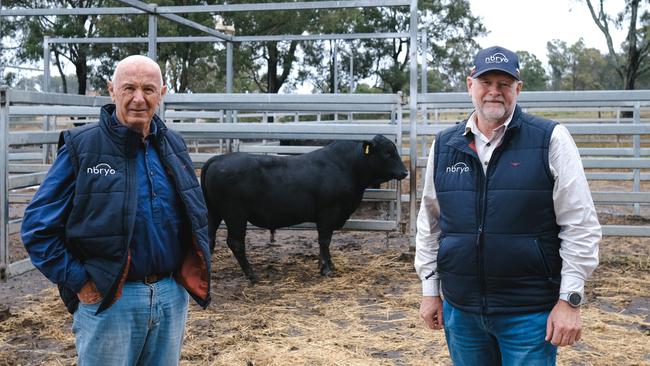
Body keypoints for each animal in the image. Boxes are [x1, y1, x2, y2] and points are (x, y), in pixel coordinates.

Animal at [200, 133, 408, 282]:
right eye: (387, 153)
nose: (405, 172)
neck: (348, 166)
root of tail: (217, 159)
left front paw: (325, 265)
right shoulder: (328, 212)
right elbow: (324, 240)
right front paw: (327, 268)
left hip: (213, 212)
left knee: (208, 239)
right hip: (235, 214)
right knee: (235, 243)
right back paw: (252, 275)